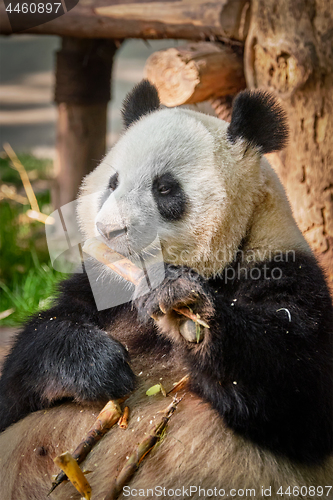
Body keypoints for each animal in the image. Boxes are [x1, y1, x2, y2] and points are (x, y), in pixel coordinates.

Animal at [0, 80, 332, 498]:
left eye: (164, 188)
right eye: (112, 183)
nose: (109, 230)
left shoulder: (286, 271)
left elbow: (303, 393)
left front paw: (181, 304)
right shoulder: (100, 285)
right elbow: (21, 370)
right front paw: (98, 364)